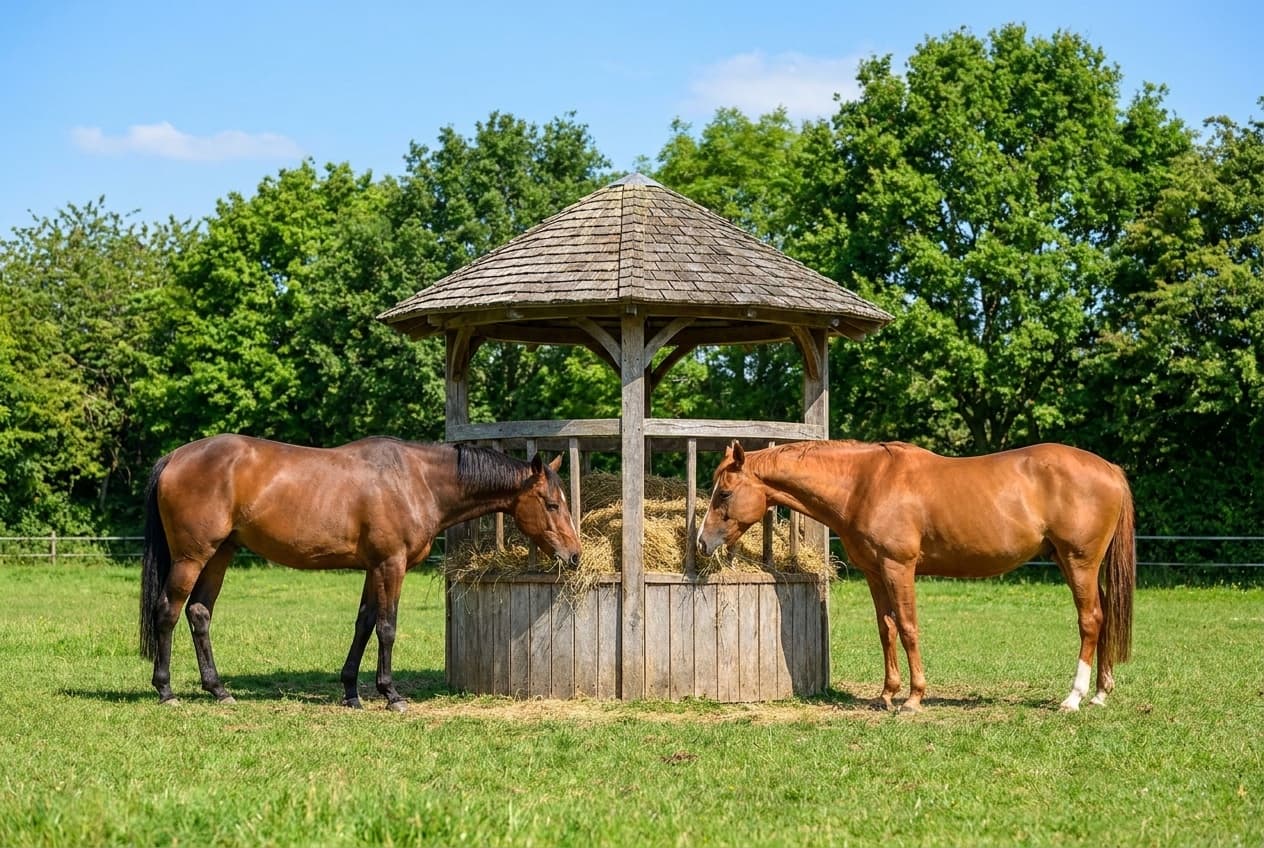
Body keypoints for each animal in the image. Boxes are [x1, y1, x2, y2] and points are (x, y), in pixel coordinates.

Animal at [140, 434, 582, 711]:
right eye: (552, 503)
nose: (575, 555)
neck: (416, 481)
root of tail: (174, 457)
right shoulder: (391, 565)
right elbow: (387, 627)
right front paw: (391, 695)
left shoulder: (373, 569)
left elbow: (364, 624)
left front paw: (351, 692)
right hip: (192, 556)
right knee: (168, 611)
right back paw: (165, 690)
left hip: (220, 554)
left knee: (199, 613)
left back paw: (219, 690)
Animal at [697, 440, 1135, 713]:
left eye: (724, 493)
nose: (702, 542)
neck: (862, 484)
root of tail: (1109, 469)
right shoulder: (875, 573)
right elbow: (886, 628)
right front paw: (886, 694)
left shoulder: (899, 567)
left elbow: (908, 627)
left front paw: (913, 698)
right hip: (1076, 564)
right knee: (1105, 617)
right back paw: (1101, 693)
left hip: (1078, 562)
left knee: (1090, 620)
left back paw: (1074, 698)